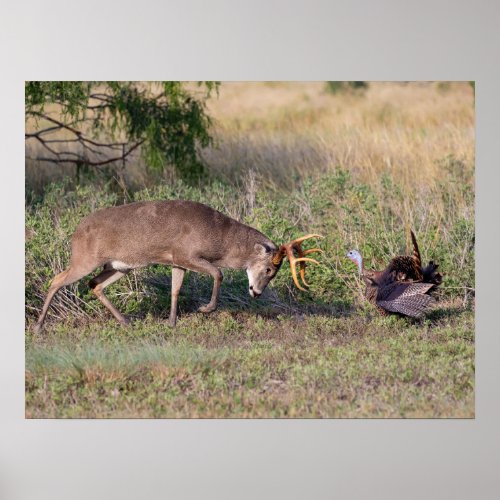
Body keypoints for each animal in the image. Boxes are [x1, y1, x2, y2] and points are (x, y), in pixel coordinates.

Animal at [35, 199, 324, 332]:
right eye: (268, 269)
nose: (256, 292)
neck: (220, 239)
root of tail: (76, 232)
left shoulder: (177, 261)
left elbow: (175, 289)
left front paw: (172, 322)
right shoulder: (186, 254)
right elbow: (218, 273)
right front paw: (205, 308)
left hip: (119, 266)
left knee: (94, 284)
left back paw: (126, 320)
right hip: (85, 259)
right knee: (56, 280)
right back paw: (38, 325)